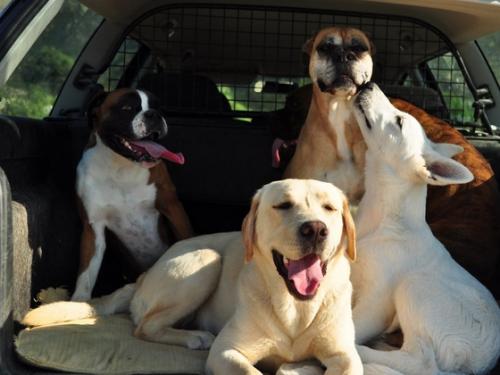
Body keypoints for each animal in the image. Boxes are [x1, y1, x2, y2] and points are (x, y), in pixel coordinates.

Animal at [23, 179, 362, 375]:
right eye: (283, 206)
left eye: (330, 208)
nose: (316, 229)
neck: (296, 306)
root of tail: (144, 276)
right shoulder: (226, 352)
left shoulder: (345, 355)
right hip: (207, 261)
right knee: (145, 327)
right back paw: (195, 337)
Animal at [72, 88, 193, 302]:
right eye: (127, 108)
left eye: (158, 107)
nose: (154, 114)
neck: (121, 166)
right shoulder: (92, 228)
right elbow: (85, 275)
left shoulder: (172, 207)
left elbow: (187, 239)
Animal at [352, 83, 500, 375]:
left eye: (399, 121)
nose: (369, 84)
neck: (385, 219)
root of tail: (477, 365)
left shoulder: (376, 304)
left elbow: (347, 324)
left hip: (414, 286)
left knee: (420, 360)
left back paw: (364, 352)